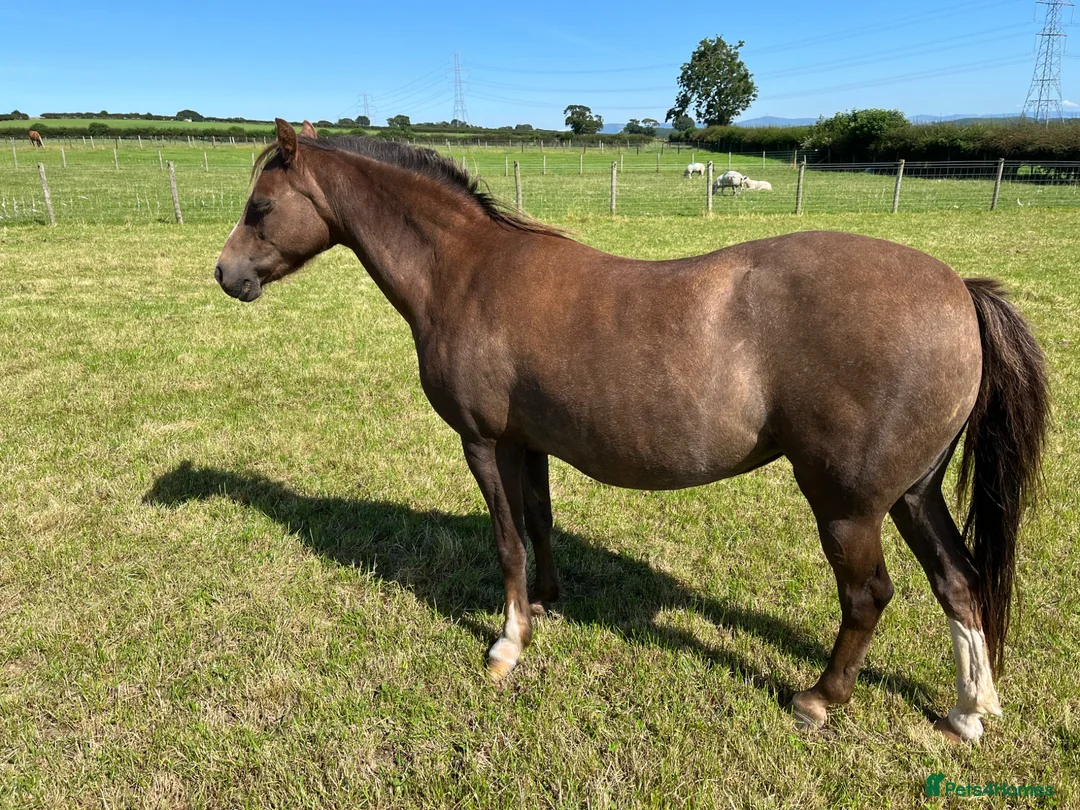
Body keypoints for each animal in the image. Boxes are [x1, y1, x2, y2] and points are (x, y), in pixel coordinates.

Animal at [214, 120, 1049, 743]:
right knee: (960, 584)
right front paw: (545, 605)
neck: (469, 272)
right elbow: (539, 526)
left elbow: (506, 540)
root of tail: (958, 290)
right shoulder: (528, 444)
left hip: (848, 506)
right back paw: (970, 711)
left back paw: (820, 697)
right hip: (914, 494)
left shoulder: (483, 443)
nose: (226, 276)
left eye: (260, 207)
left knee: (869, 596)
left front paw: (507, 643)